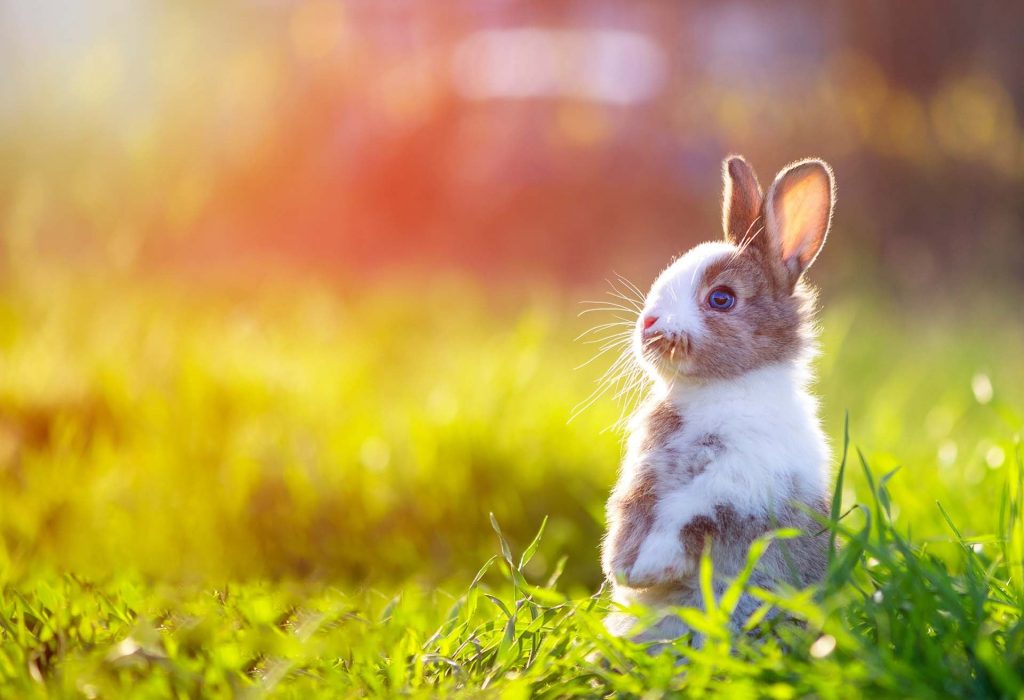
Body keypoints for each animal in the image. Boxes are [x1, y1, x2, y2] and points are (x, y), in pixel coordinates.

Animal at [600, 156, 836, 643]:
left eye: (721, 299)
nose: (647, 323)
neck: (717, 389)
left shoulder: (735, 485)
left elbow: (688, 517)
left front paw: (648, 570)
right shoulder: (642, 473)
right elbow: (629, 509)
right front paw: (621, 570)